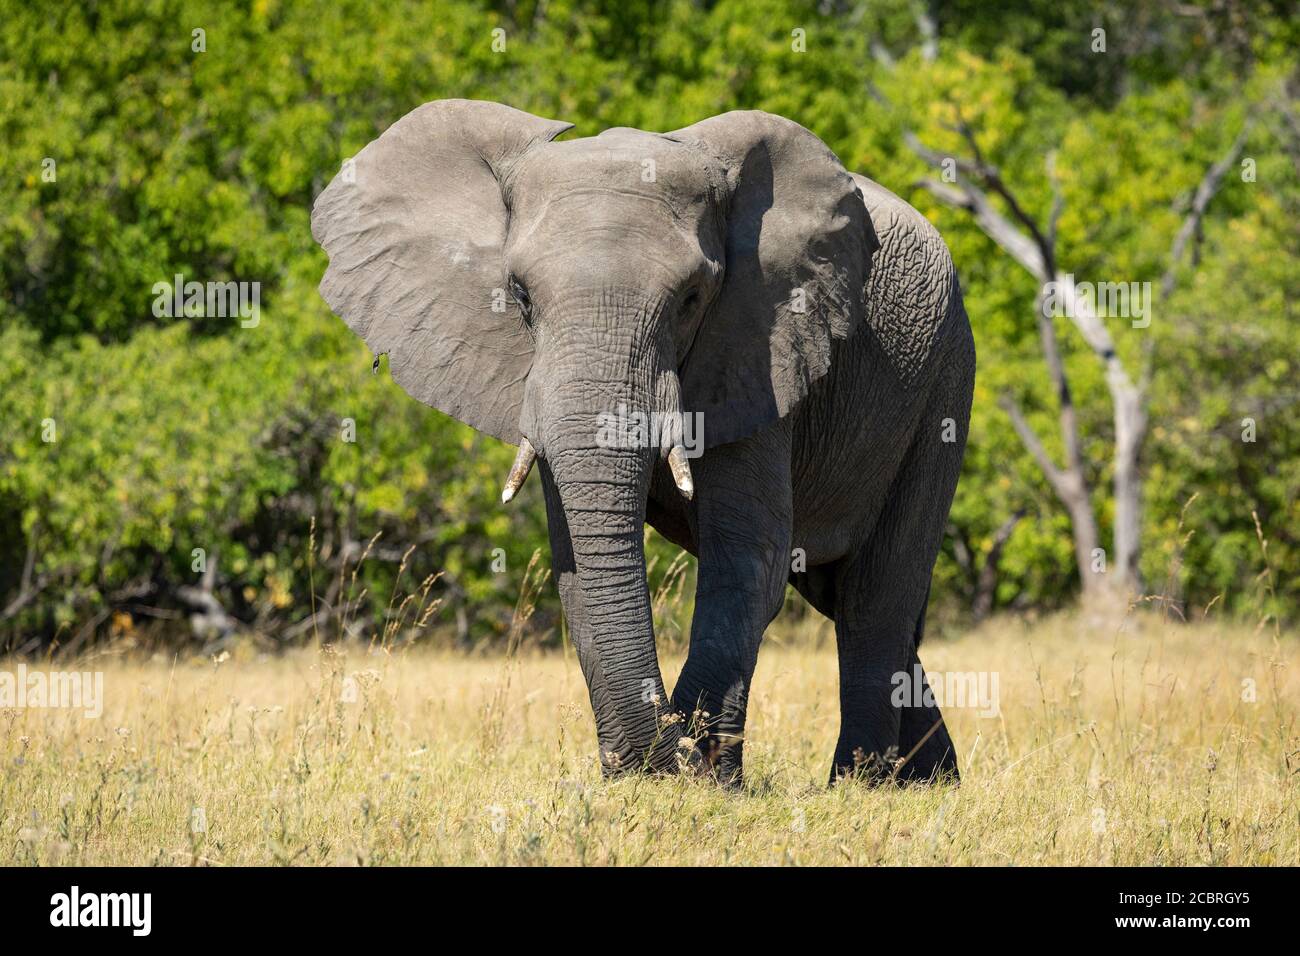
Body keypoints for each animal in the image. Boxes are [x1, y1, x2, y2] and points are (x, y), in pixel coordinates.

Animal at [309, 97, 972, 790]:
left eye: (690, 299)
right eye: (519, 296)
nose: (669, 750)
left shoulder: (758, 347)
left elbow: (747, 563)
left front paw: (699, 777)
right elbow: (576, 570)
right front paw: (644, 774)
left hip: (945, 378)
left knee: (874, 599)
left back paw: (866, 784)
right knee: (843, 598)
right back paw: (933, 782)